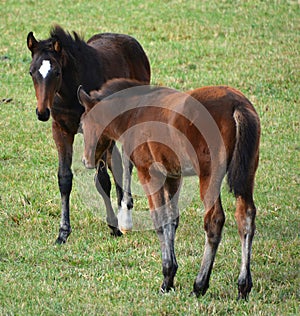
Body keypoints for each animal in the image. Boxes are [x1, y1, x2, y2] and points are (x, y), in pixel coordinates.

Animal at [27, 25, 151, 243]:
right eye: (32, 72)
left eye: (57, 72)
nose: (42, 112)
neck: (70, 94)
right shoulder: (61, 130)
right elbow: (64, 178)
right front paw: (63, 232)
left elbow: (102, 180)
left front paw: (114, 226)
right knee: (116, 163)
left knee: (125, 162)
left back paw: (125, 211)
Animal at [77, 78, 260, 298]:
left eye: (83, 124)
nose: (86, 160)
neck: (135, 112)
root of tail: (237, 104)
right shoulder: (173, 176)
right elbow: (172, 219)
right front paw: (171, 275)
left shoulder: (149, 173)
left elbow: (159, 219)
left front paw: (166, 277)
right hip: (247, 173)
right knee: (246, 217)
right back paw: (243, 286)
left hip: (210, 176)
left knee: (214, 220)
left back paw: (200, 285)